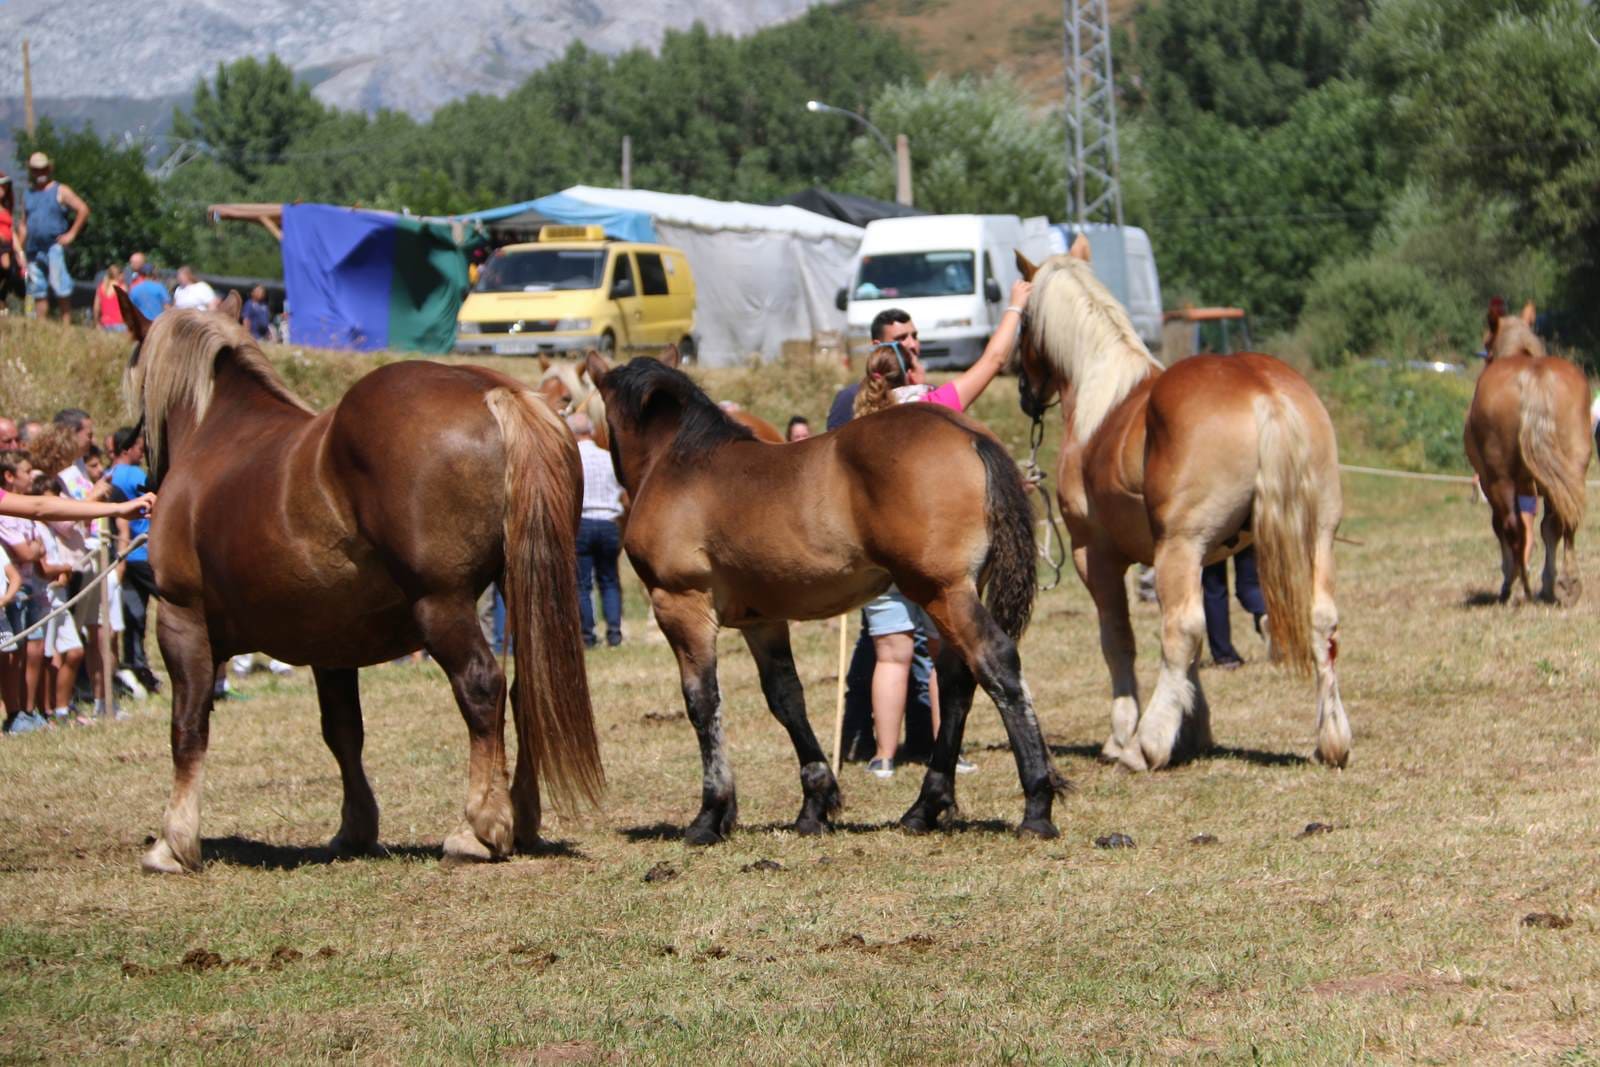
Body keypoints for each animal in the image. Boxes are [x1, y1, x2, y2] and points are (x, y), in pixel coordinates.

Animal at [111, 287, 601, 870]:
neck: (215, 436)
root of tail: (494, 392)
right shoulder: (330, 646)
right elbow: (343, 731)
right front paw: (355, 828)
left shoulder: (182, 621)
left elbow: (187, 727)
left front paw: (174, 841)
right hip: (521, 593)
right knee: (529, 693)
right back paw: (521, 820)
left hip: (442, 604)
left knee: (482, 687)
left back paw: (481, 828)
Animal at [1011, 239, 1350, 777]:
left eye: (1023, 320)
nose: (1025, 391)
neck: (1102, 390)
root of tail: (1264, 392)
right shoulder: (1203, 560)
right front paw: (1193, 729)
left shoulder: (1097, 557)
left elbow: (1120, 640)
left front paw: (1124, 735)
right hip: (1315, 538)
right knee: (1322, 622)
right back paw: (1331, 740)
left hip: (1178, 548)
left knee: (1180, 630)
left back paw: (1143, 746)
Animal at [1465, 300, 1587, 604]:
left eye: (1487, 342)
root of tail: (1535, 375)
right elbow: (1547, 530)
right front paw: (1548, 583)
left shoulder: (1491, 484)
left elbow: (1504, 528)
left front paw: (1512, 580)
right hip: (1571, 474)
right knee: (1565, 522)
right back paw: (1567, 584)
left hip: (1500, 480)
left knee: (1511, 527)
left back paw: (1519, 587)